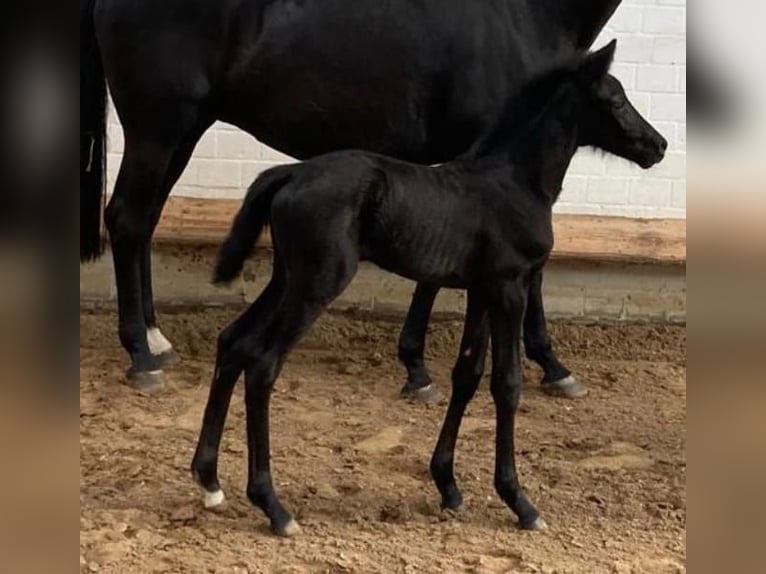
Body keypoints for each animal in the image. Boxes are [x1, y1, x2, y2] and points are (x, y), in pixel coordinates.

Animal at [80, 0, 625, 395]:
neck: (524, 12)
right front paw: (551, 365)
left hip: (184, 128)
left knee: (146, 221)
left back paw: (156, 338)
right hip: (158, 127)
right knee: (127, 219)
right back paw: (140, 356)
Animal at [190, 41, 667, 536]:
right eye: (615, 100)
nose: (658, 145)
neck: (514, 181)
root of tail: (288, 174)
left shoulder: (480, 292)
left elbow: (467, 376)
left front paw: (449, 486)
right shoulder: (510, 289)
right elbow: (507, 384)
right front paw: (520, 502)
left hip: (286, 277)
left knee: (234, 342)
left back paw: (209, 481)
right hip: (316, 285)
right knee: (263, 363)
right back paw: (274, 507)